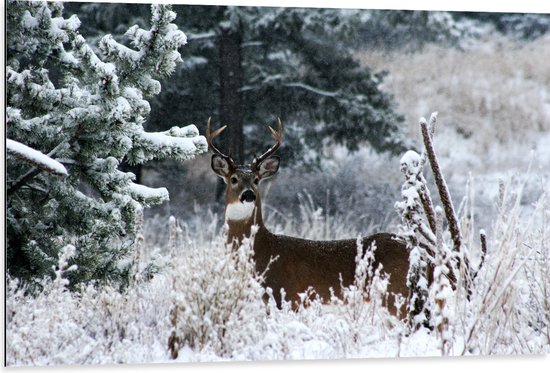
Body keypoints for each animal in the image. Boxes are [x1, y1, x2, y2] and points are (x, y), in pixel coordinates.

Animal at [209, 117, 420, 316]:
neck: (263, 249)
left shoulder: (284, 295)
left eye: (256, 180)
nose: (248, 195)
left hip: (395, 293)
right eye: (233, 179)